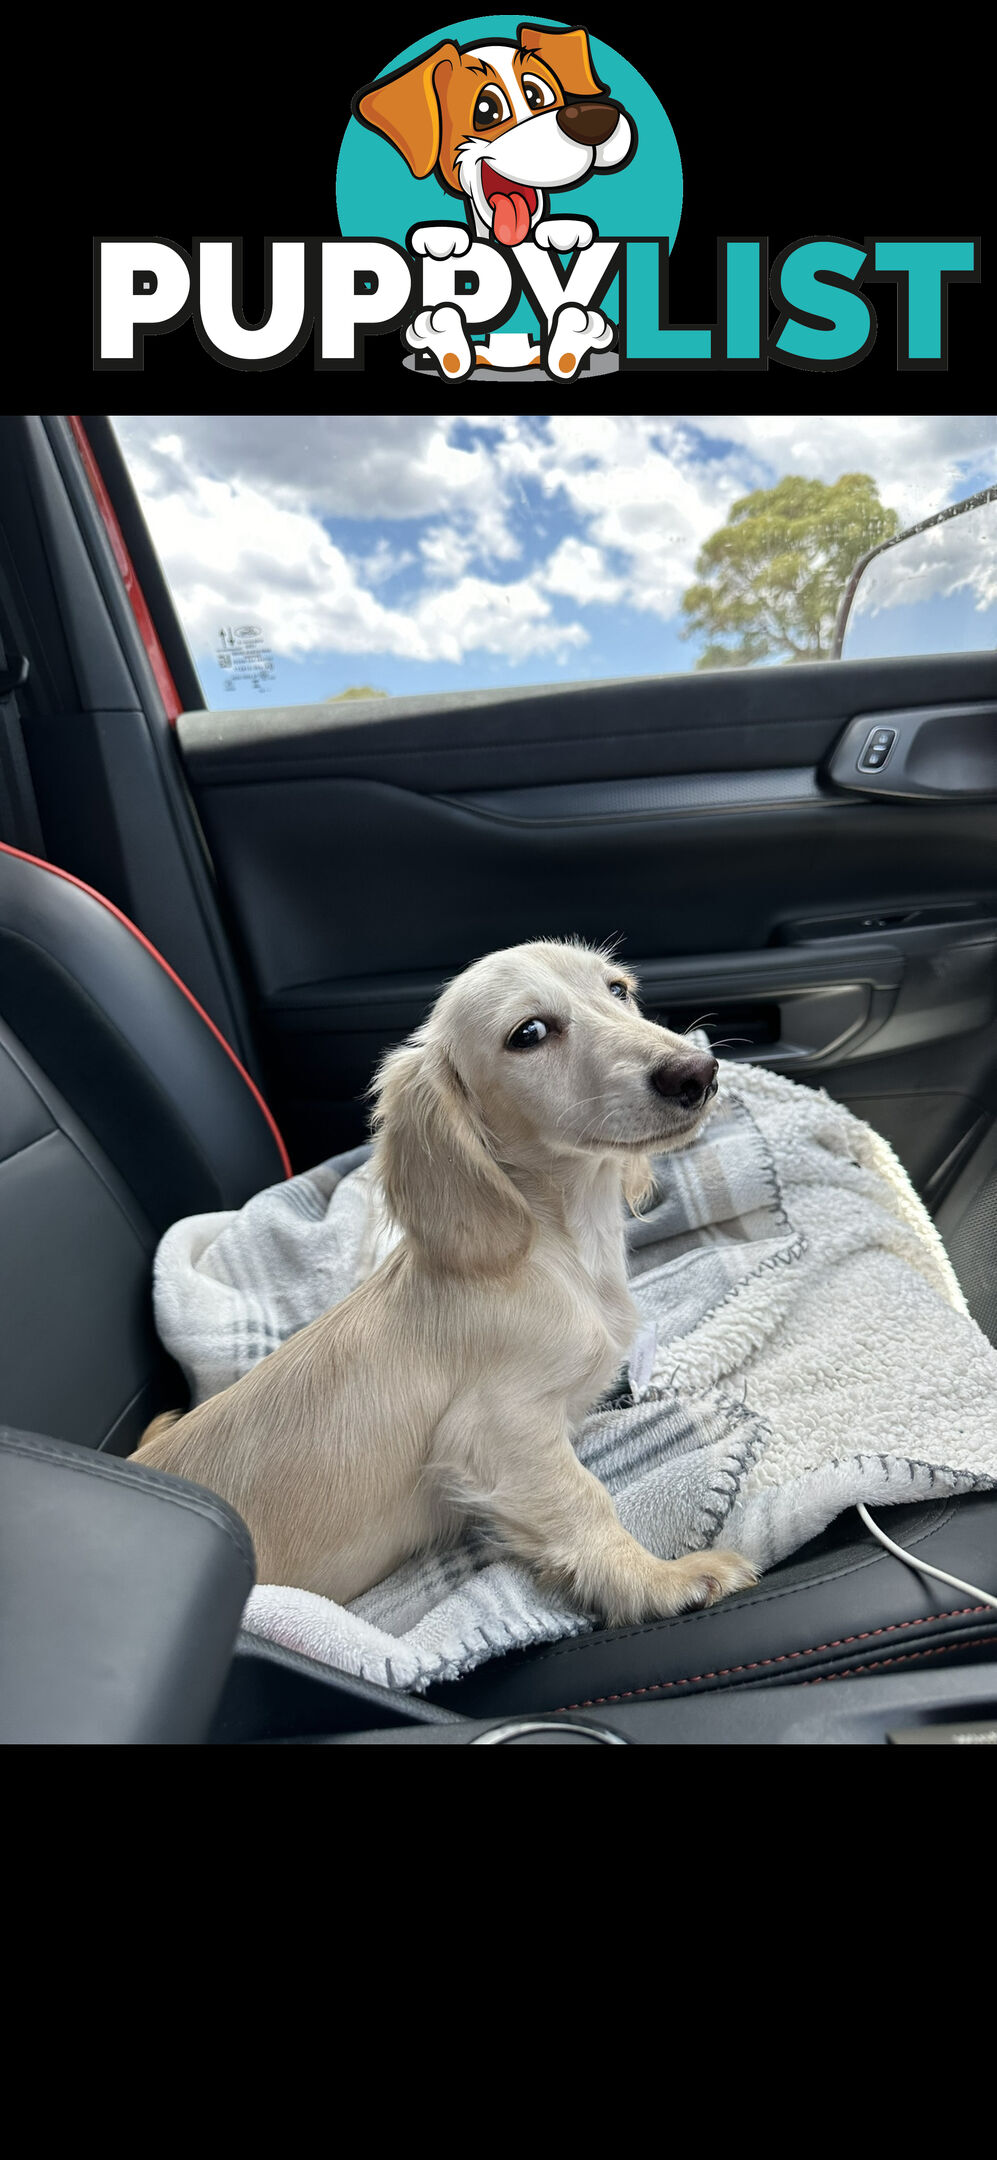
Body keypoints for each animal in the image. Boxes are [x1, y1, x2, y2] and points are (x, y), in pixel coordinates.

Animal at [132, 941, 755, 1624]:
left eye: (618, 990)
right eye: (528, 1033)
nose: (698, 1072)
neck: (559, 1252)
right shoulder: (496, 1432)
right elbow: (583, 1503)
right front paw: (656, 1581)